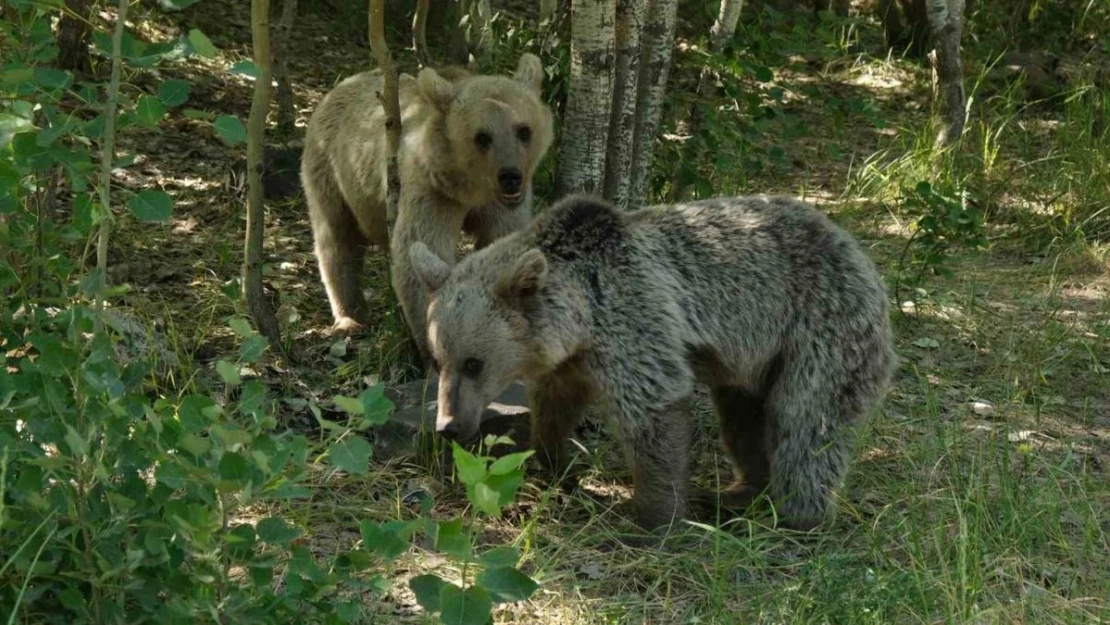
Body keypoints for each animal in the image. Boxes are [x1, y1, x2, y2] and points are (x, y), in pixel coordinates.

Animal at [301, 54, 552, 350]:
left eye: (524, 130)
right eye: (482, 136)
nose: (510, 176)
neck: (470, 189)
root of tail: (338, 87)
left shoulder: (500, 207)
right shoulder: (430, 188)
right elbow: (420, 253)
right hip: (331, 170)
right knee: (337, 239)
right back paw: (350, 318)